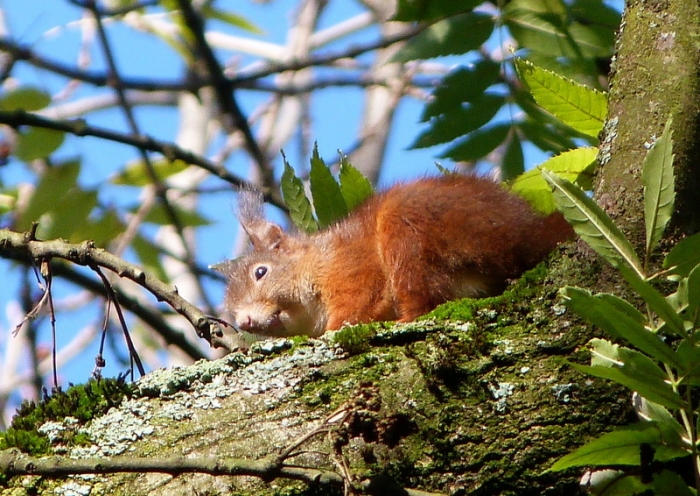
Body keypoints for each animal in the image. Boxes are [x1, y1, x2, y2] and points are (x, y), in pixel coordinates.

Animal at [221, 174, 574, 338]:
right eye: (231, 309)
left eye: (261, 272)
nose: (245, 321)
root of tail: (529, 232)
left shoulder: (351, 266)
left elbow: (358, 299)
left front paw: (335, 331)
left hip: (407, 228)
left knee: (424, 299)